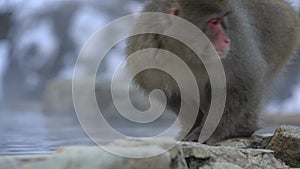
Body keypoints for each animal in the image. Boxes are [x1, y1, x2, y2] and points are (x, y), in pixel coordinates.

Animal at [125, 0, 300, 144]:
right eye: (214, 22)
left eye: (221, 20)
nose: (227, 40)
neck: (186, 53)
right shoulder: (147, 57)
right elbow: (172, 95)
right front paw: (194, 127)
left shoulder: (236, 49)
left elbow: (243, 82)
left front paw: (208, 131)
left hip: (284, 36)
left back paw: (243, 128)